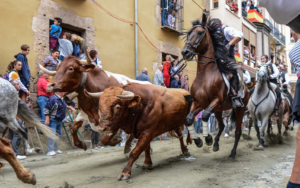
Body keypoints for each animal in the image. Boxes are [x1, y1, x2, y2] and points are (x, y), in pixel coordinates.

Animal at [182, 12, 250, 159]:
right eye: (189, 33)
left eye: (199, 32)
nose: (185, 52)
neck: (205, 75)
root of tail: (247, 89)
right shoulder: (199, 102)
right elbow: (189, 119)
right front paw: (198, 140)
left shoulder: (217, 100)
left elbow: (205, 116)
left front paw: (207, 138)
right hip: (219, 110)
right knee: (222, 125)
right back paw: (216, 144)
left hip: (240, 109)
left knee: (237, 131)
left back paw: (232, 153)